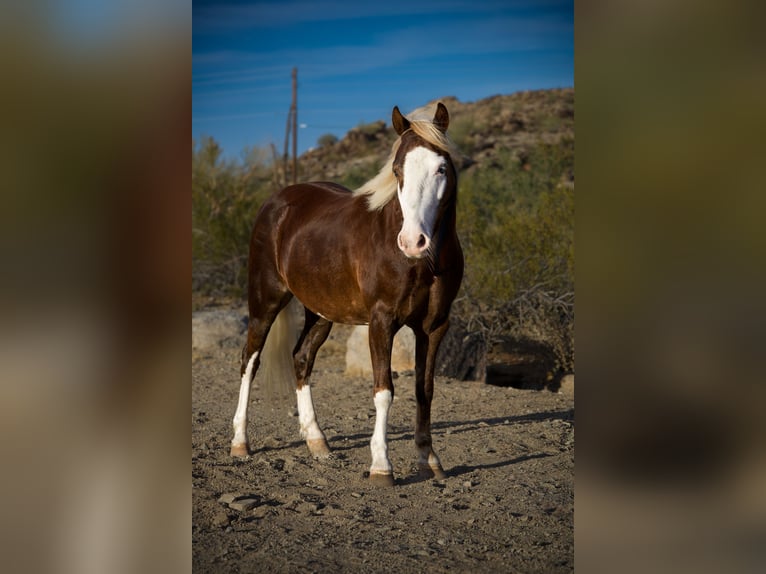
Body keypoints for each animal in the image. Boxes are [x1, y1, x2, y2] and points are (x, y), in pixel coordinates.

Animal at [231, 102, 464, 486]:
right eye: (397, 171)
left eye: (441, 168)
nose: (413, 242)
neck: (422, 263)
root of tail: (277, 201)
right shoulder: (382, 322)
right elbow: (384, 391)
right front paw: (381, 466)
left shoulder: (434, 327)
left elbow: (424, 390)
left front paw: (428, 460)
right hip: (265, 301)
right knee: (250, 361)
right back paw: (240, 442)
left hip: (320, 312)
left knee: (301, 358)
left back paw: (317, 441)